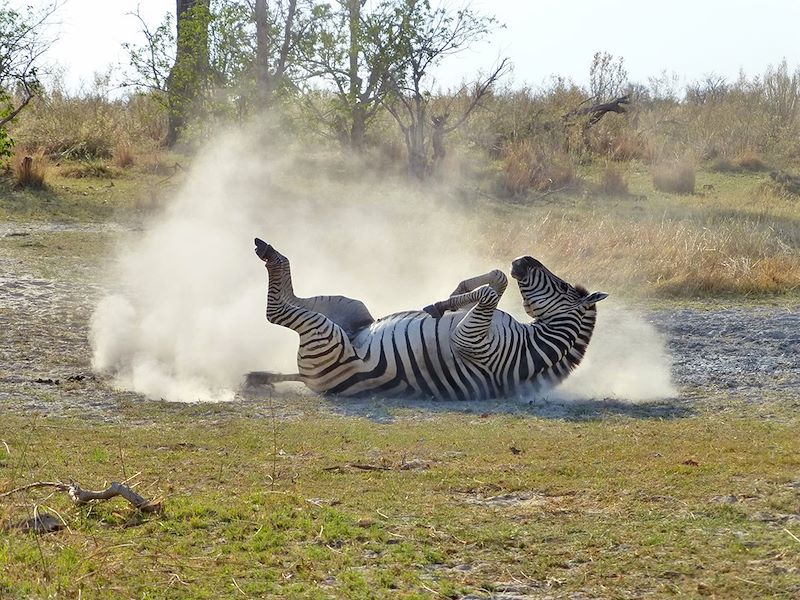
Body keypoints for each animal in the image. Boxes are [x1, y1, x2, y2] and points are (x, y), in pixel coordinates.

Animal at [250, 237, 608, 400]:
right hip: (353, 309)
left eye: (562, 287)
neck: (532, 348)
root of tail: (307, 379)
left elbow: (491, 293)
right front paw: (453, 295)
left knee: (276, 310)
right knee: (295, 299)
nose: (522, 259)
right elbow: (497, 280)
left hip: (328, 337)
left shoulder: (471, 340)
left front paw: (439, 305)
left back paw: (268, 253)